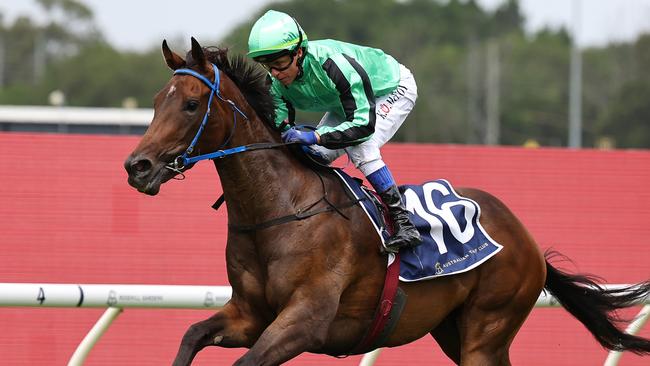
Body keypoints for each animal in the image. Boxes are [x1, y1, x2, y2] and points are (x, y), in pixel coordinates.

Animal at [123, 38, 648, 364]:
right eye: (157, 99)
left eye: (191, 104)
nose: (137, 166)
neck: (280, 209)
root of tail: (526, 235)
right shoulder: (249, 317)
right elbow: (190, 336)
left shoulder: (304, 321)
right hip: (453, 330)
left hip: (488, 326)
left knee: (365, 142)